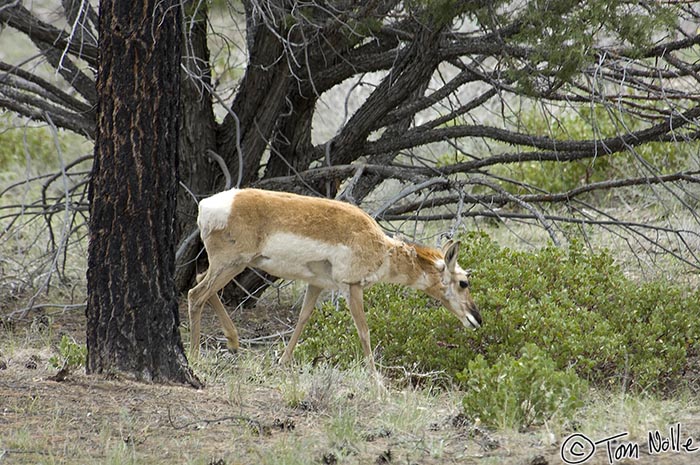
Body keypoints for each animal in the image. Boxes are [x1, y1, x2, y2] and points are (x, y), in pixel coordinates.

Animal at [186, 187, 482, 372]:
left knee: (201, 284)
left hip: (229, 265)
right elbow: (364, 331)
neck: (382, 247)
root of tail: (207, 206)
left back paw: (234, 342)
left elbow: (303, 319)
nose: (477, 319)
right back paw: (196, 357)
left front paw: (283, 362)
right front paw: (378, 384)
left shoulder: (316, 284)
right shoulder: (352, 287)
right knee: (195, 294)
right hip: (232, 264)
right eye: (464, 282)